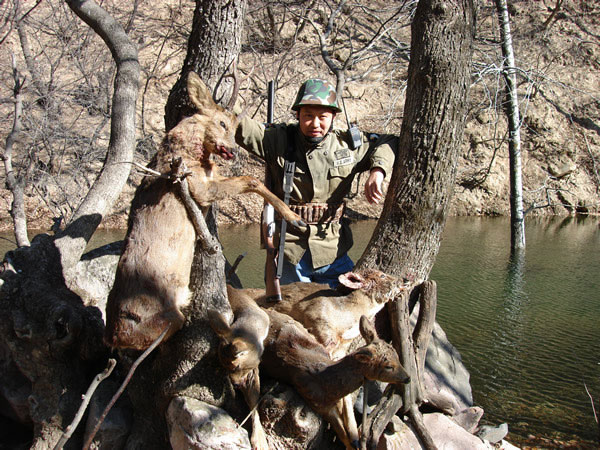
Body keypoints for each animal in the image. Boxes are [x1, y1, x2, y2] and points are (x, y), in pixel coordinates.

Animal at [103, 72, 302, 350]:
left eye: (235, 126)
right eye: (222, 123)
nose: (233, 151)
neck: (189, 153)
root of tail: (112, 336)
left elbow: (248, 180)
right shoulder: (198, 186)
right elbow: (251, 180)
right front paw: (296, 217)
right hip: (166, 319)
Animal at [209, 284, 270, 450]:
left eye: (236, 368)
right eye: (225, 368)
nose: (236, 384)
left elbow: (254, 404)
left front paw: (260, 439)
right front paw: (260, 440)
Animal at [260, 312, 410, 448]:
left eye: (397, 355)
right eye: (388, 366)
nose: (407, 378)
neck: (327, 381)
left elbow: (350, 420)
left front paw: (356, 439)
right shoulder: (318, 403)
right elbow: (343, 434)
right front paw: (353, 443)